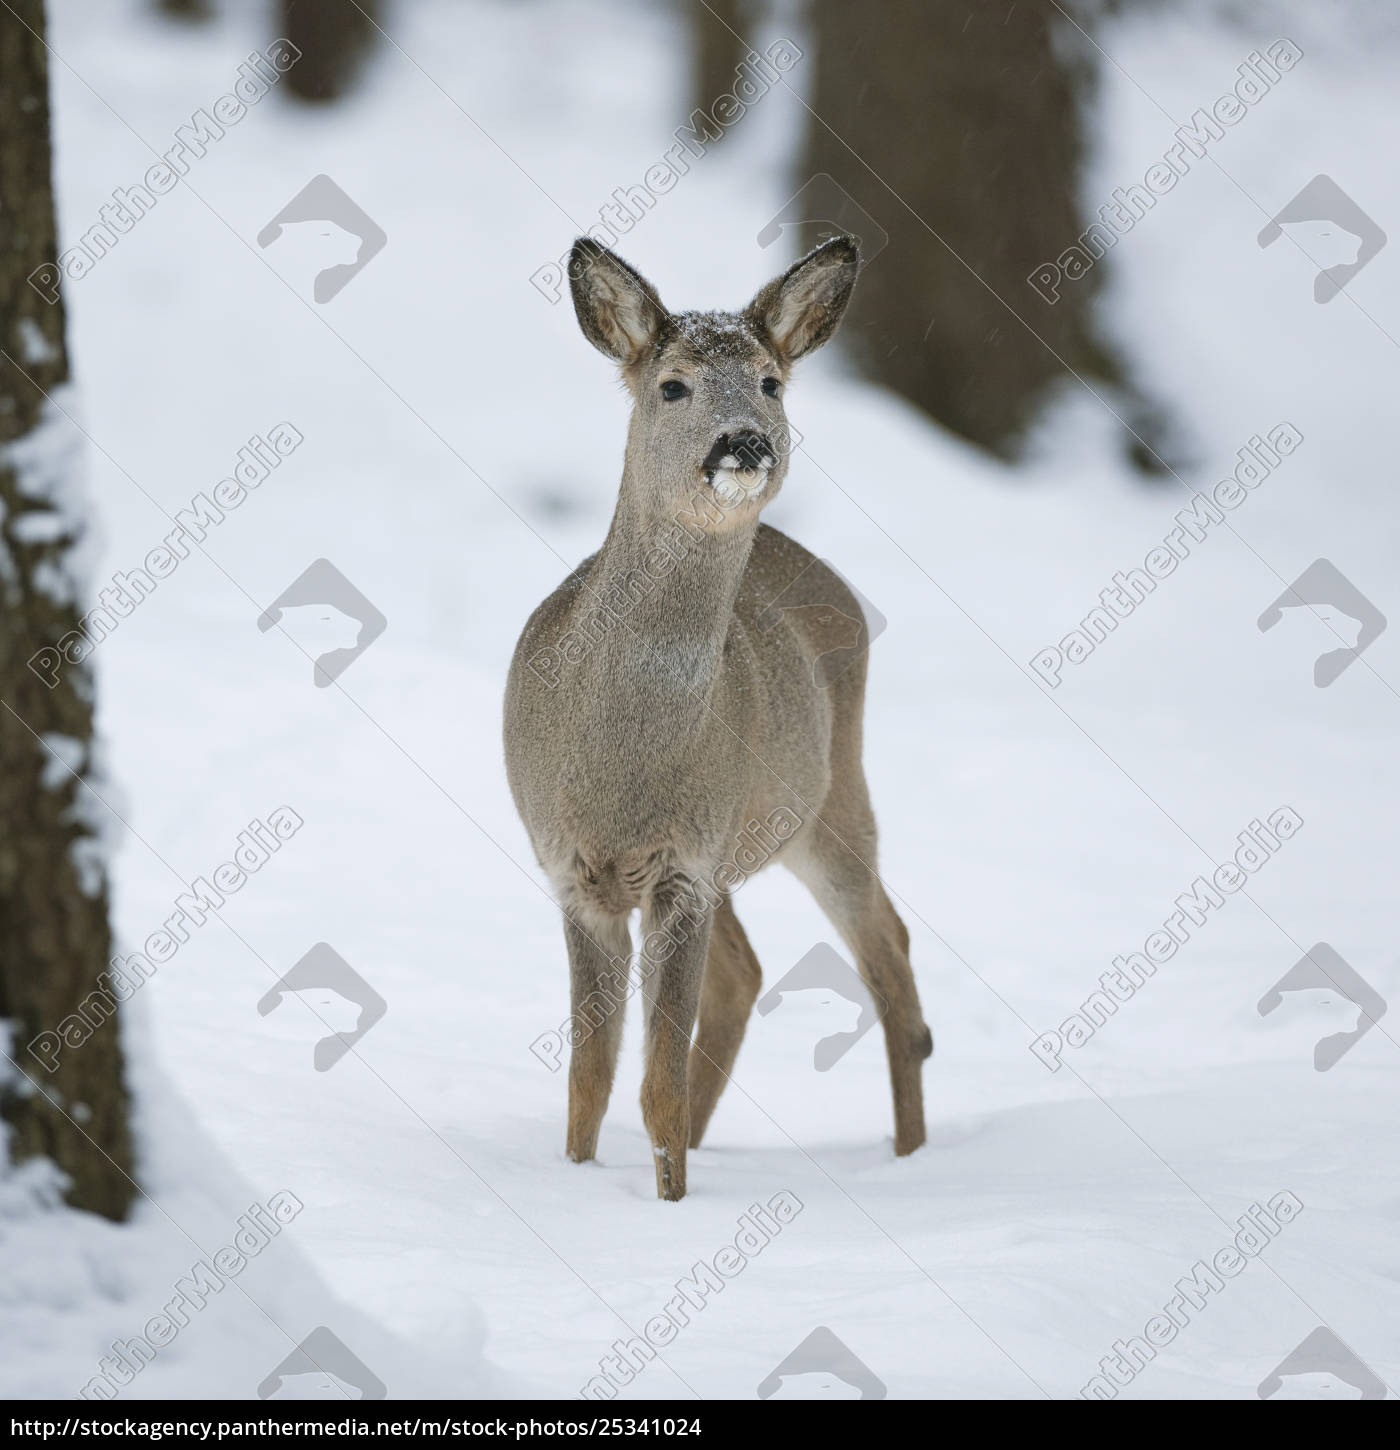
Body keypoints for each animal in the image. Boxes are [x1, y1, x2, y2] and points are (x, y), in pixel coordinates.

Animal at [504, 234, 933, 1200]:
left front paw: (667, 1206)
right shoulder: (577, 870)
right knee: (750, 974)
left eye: (772, 382)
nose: (744, 441)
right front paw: (586, 1181)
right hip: (748, 838)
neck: (618, 765)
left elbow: (650, 1083)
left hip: (828, 800)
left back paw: (913, 1159)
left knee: (888, 950)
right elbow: (591, 1078)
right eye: (673, 385)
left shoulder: (684, 871)